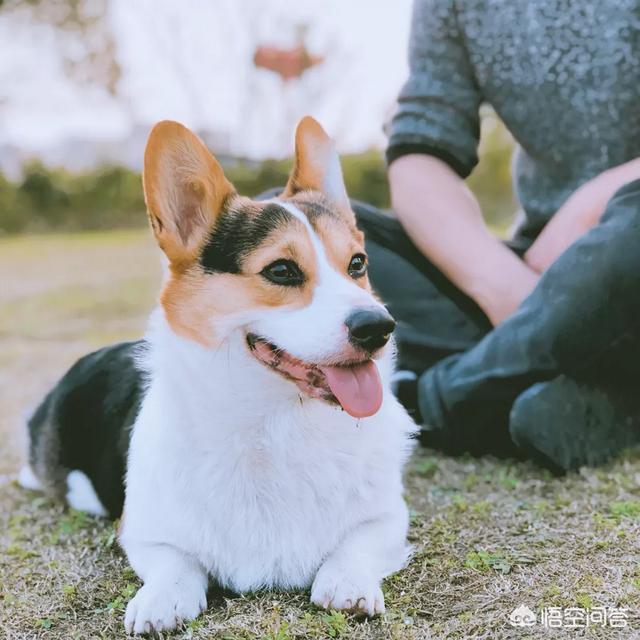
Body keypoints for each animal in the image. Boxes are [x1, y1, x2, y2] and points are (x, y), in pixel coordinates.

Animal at [18, 117, 416, 632]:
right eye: (282, 270)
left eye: (357, 264)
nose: (379, 327)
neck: (276, 424)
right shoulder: (142, 531)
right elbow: (175, 562)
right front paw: (161, 599)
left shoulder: (388, 518)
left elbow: (356, 545)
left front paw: (347, 583)